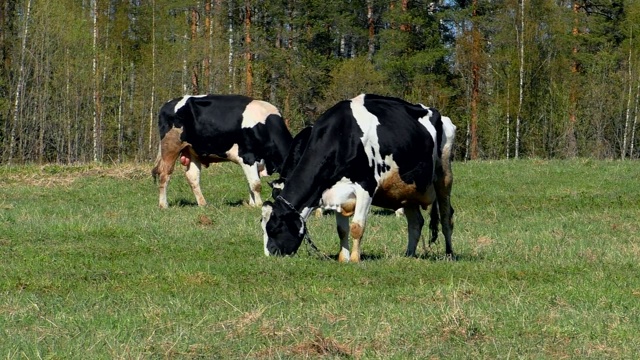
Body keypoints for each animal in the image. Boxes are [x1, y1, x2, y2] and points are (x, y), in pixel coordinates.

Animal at [152, 94, 292, 210]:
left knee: (192, 177)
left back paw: (203, 204)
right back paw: (164, 205)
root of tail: (167, 103)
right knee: (164, 174)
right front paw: (258, 205)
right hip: (171, 146)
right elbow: (256, 184)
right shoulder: (248, 157)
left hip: (192, 151)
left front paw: (252, 204)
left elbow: (250, 183)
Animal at [260, 93, 456, 262]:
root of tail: (437, 113)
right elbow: (342, 230)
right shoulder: (335, 193)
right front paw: (343, 258)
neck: (342, 135)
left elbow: (357, 227)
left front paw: (355, 259)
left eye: (275, 228)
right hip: (407, 189)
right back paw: (408, 255)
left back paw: (449, 254)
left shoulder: (366, 186)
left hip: (444, 175)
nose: (270, 254)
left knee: (446, 217)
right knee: (416, 223)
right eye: (263, 227)